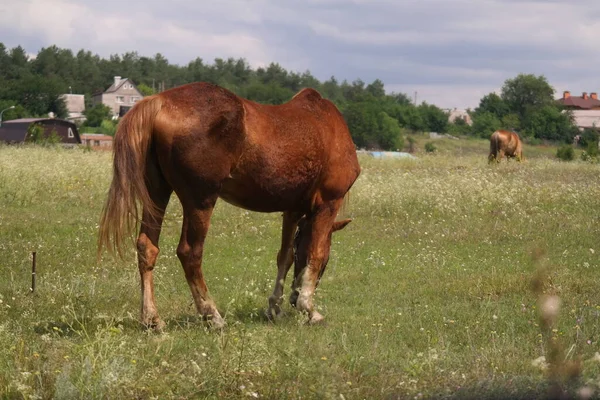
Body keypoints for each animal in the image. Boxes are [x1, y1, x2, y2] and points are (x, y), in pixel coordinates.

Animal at [98, 81, 360, 328]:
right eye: (328, 262)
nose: (294, 300)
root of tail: (159, 101)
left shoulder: (291, 210)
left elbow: (285, 256)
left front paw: (275, 308)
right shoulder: (328, 203)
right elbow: (315, 252)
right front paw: (310, 309)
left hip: (157, 193)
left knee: (147, 247)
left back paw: (152, 319)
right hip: (200, 201)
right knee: (190, 253)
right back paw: (212, 315)